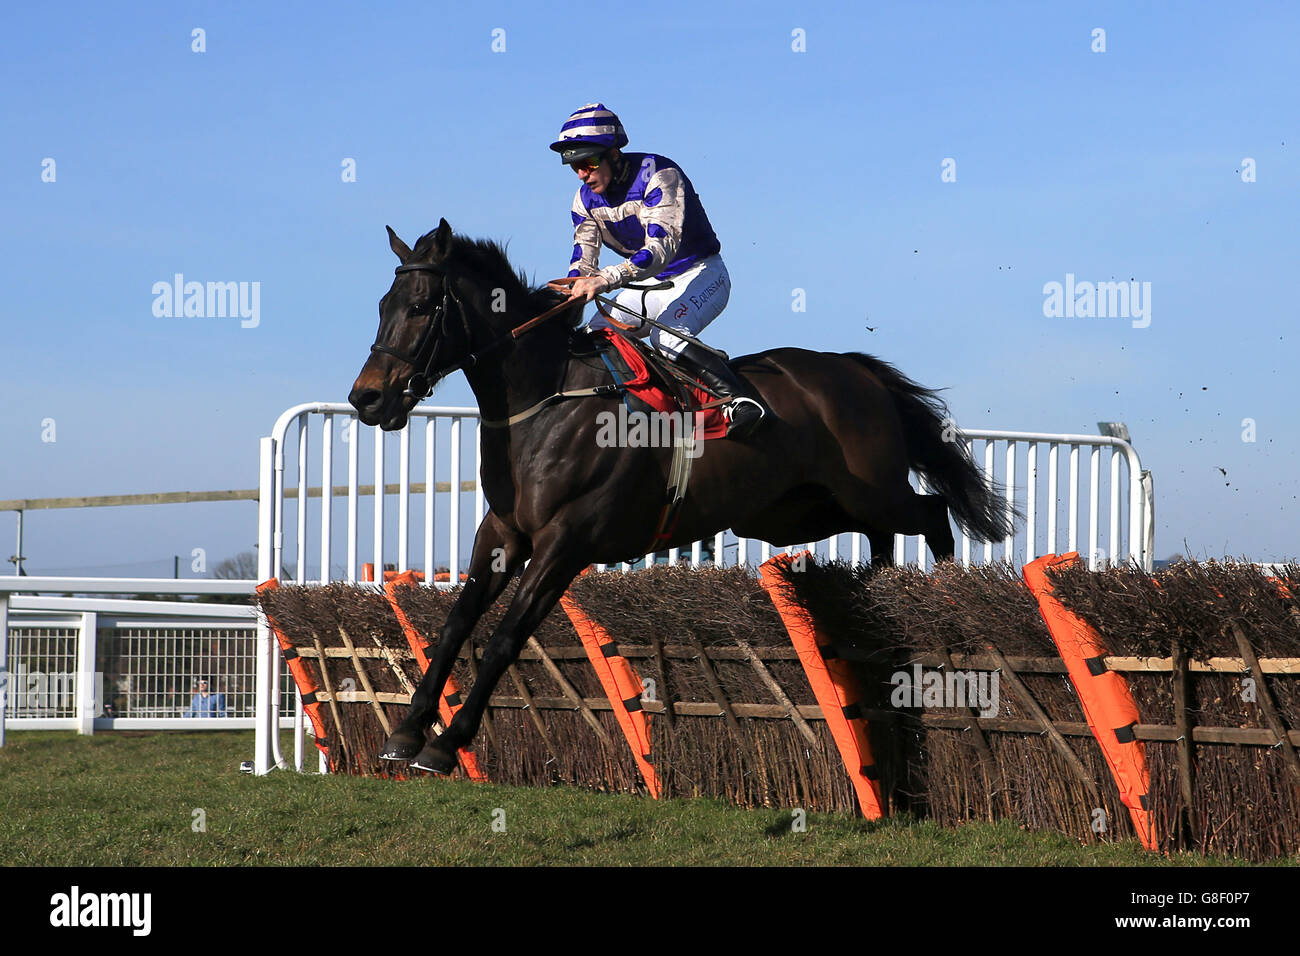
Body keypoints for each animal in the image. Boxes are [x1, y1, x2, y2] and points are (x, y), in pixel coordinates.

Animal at [348, 221, 1013, 775]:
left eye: (420, 306)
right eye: (381, 307)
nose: (367, 398)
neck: (546, 400)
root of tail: (855, 369)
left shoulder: (567, 541)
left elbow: (508, 635)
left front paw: (447, 741)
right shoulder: (504, 531)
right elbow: (456, 624)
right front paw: (406, 732)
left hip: (868, 490)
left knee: (931, 514)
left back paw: (945, 604)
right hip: (801, 512)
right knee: (885, 539)